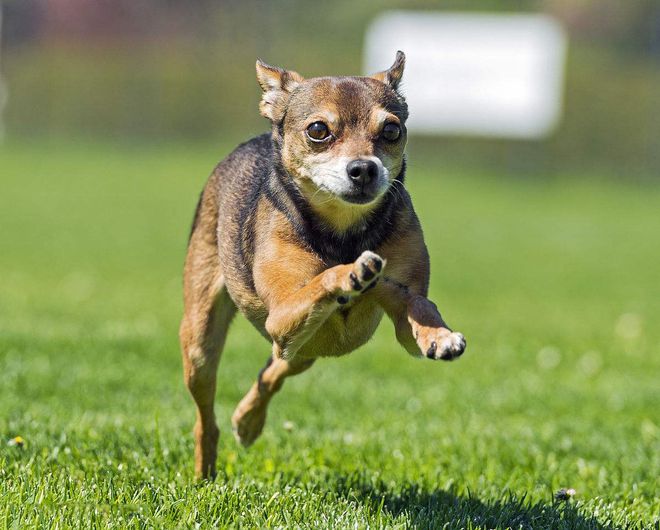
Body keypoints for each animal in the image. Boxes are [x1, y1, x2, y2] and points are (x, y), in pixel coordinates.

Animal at [180, 51, 466, 476]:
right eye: (318, 130)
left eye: (392, 130)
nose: (364, 168)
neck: (344, 231)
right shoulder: (281, 313)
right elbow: (323, 279)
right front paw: (350, 274)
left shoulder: (402, 315)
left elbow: (415, 302)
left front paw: (439, 335)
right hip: (202, 343)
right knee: (206, 417)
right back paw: (205, 470)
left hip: (301, 352)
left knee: (273, 369)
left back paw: (247, 421)